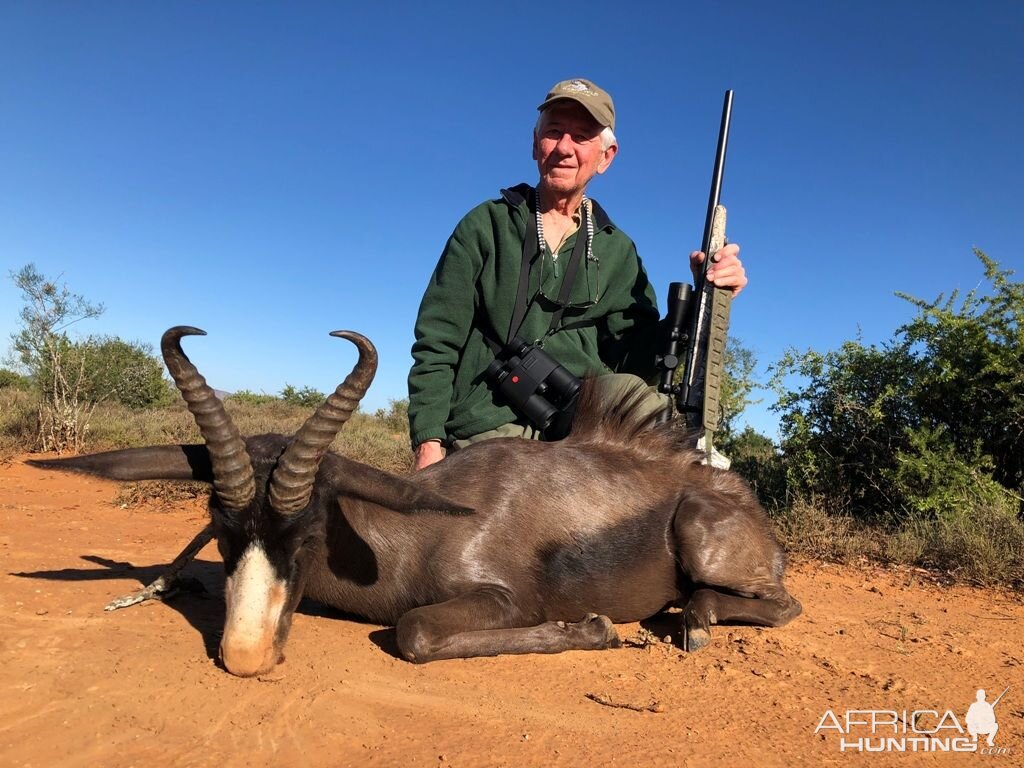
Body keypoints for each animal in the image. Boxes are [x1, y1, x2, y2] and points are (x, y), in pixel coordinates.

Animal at [29, 327, 798, 675]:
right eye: (220, 527)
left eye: (307, 532)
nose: (245, 655)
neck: (410, 531)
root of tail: (721, 488)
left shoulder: (499, 600)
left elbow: (414, 632)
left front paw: (594, 628)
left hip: (705, 541)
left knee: (781, 605)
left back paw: (693, 620)